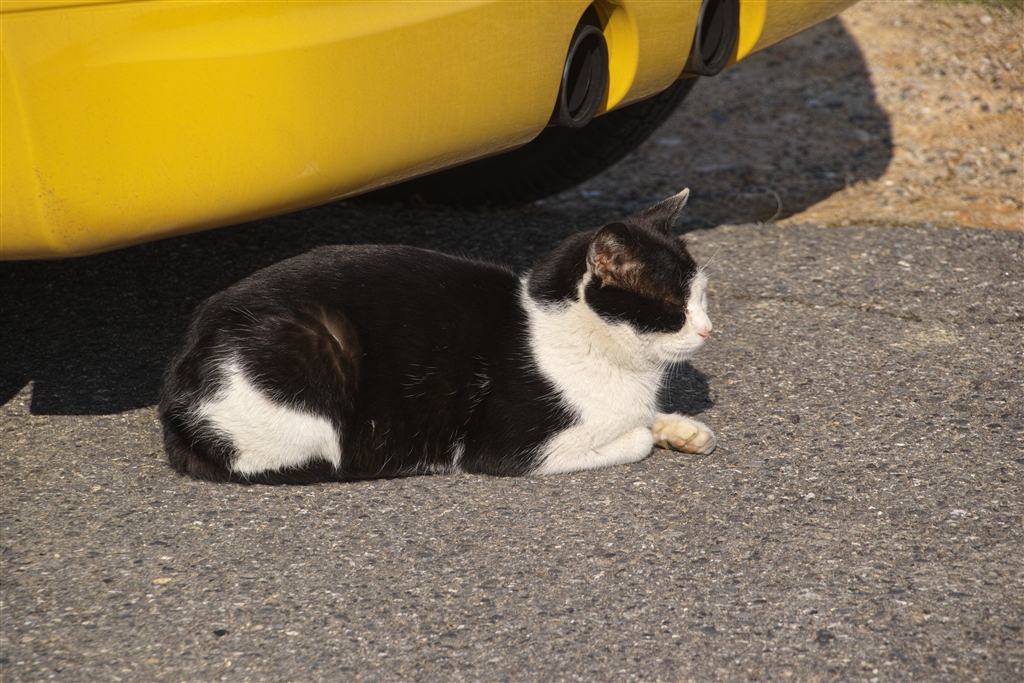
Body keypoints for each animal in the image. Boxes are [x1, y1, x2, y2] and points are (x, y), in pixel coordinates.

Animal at [158, 189, 716, 484]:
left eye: (702, 296)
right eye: (673, 308)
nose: (709, 329)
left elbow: (645, 418)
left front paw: (680, 429)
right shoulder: (512, 450)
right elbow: (634, 439)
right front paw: (649, 433)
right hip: (312, 354)